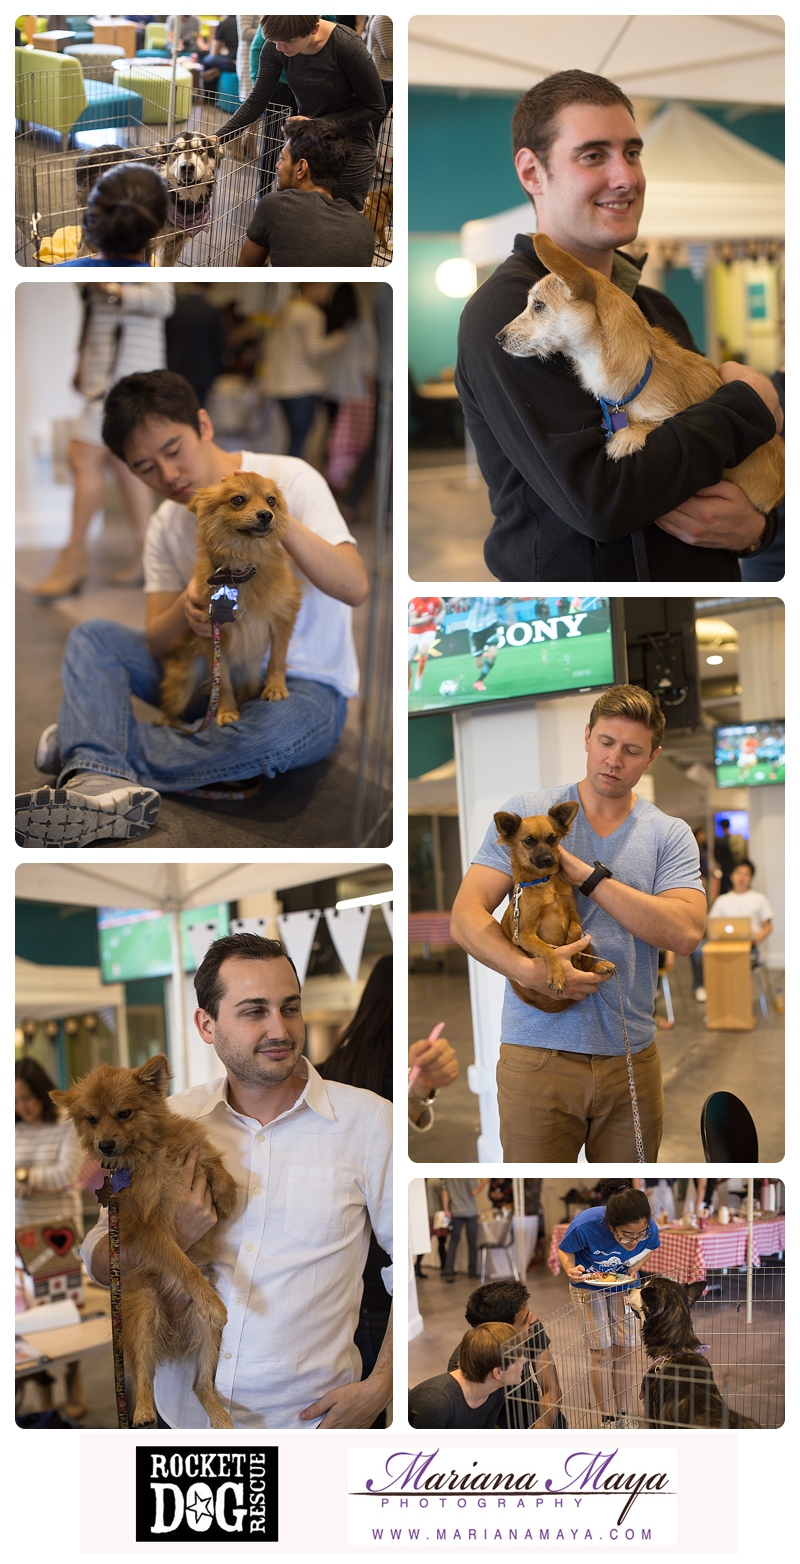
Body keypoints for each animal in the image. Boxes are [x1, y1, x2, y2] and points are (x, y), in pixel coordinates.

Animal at [52, 1057, 237, 1426]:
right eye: (91, 1119)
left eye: (124, 1113)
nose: (104, 1145)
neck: (147, 1155)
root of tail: (175, 1330)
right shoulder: (149, 1230)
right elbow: (182, 1264)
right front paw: (212, 1302)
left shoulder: (193, 1151)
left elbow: (214, 1164)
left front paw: (226, 1196)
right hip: (144, 1313)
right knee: (141, 1376)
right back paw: (142, 1412)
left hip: (208, 1336)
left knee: (199, 1386)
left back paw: (220, 1416)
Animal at [160, 466, 301, 728]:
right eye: (238, 500)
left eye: (271, 500)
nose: (266, 515)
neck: (240, 567)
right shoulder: (213, 637)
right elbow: (222, 682)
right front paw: (225, 710)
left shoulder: (282, 616)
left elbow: (277, 658)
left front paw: (276, 686)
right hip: (182, 685)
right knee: (172, 709)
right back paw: (165, 721)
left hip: (249, 676)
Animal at [496, 800, 615, 1019]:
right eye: (528, 841)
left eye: (553, 838)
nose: (548, 859)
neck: (544, 882)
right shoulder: (523, 936)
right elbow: (548, 950)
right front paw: (557, 975)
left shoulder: (573, 914)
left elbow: (576, 929)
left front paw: (571, 946)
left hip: (588, 944)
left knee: (585, 968)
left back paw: (598, 965)